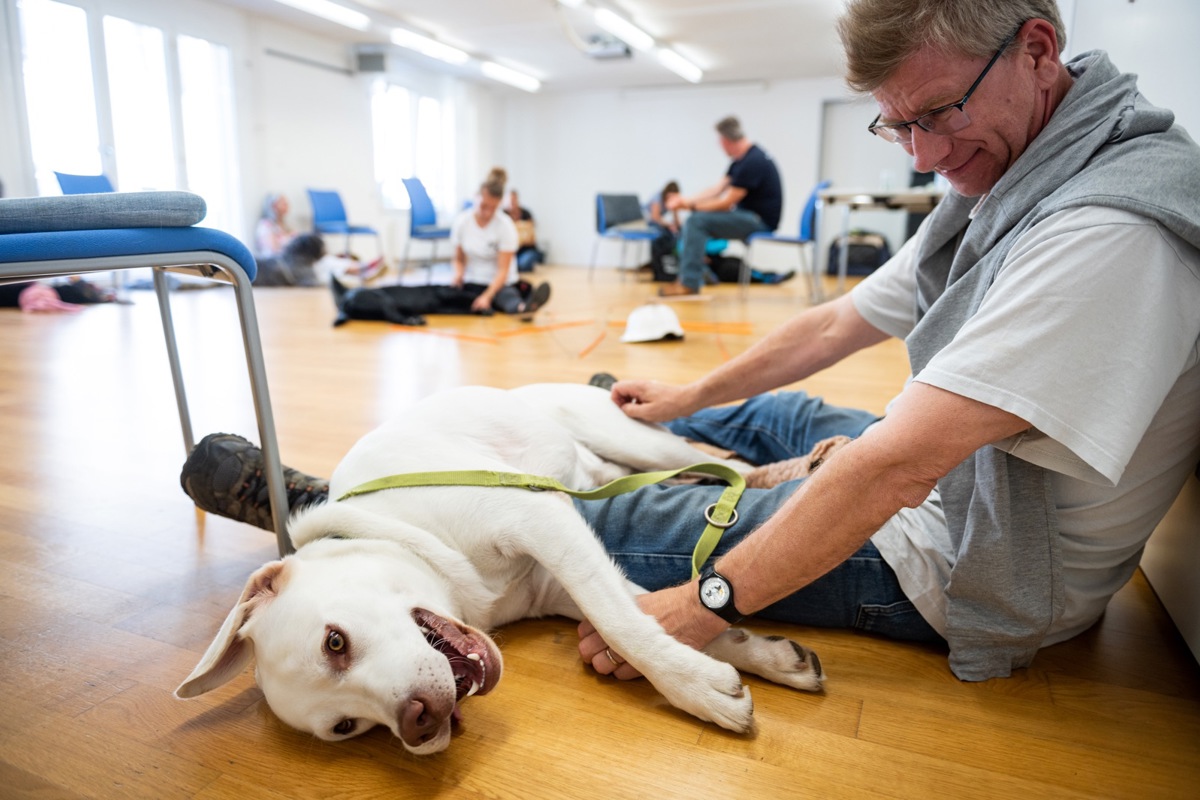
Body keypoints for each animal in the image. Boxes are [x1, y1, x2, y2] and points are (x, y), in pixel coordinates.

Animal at [177, 383, 825, 753]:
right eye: (346, 729)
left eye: (334, 642)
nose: (419, 726)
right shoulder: (563, 575)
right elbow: (654, 614)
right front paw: (760, 658)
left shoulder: (537, 516)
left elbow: (622, 625)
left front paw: (697, 690)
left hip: (640, 443)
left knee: (728, 464)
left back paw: (806, 464)